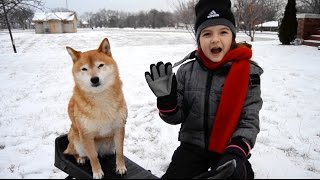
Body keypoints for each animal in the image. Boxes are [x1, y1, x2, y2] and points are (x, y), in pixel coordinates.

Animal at [63, 37, 127, 179]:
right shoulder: (86, 135)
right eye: (84, 69)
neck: (100, 99)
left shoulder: (119, 128)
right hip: (77, 140)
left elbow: (120, 152)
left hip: (110, 142)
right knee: (73, 152)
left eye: (100, 65)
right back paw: (80, 158)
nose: (94, 79)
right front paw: (97, 172)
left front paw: (120, 167)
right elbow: (93, 157)